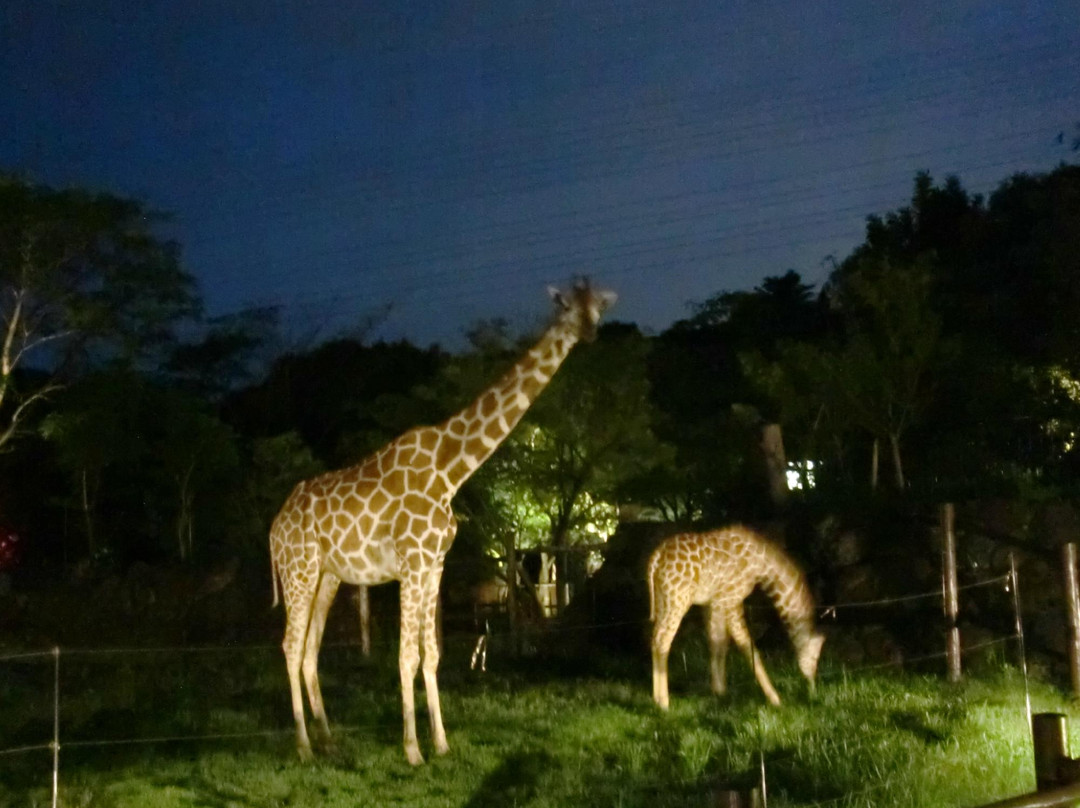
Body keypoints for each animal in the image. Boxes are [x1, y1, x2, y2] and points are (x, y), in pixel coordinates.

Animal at [270, 278, 617, 764]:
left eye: (596, 308)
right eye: (566, 307)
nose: (588, 333)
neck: (452, 469)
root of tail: (274, 526)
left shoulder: (434, 564)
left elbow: (431, 654)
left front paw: (441, 742)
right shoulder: (412, 562)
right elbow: (406, 656)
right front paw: (413, 750)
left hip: (327, 575)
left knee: (308, 648)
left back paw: (328, 738)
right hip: (298, 570)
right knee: (289, 645)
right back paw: (303, 746)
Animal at [643, 524, 820, 708]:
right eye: (815, 657)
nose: (812, 686)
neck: (763, 564)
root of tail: (656, 558)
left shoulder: (712, 603)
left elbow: (718, 643)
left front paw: (719, 691)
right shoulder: (731, 599)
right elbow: (743, 643)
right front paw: (774, 698)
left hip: (663, 599)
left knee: (653, 637)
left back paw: (656, 699)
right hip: (678, 600)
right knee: (662, 640)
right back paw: (664, 702)